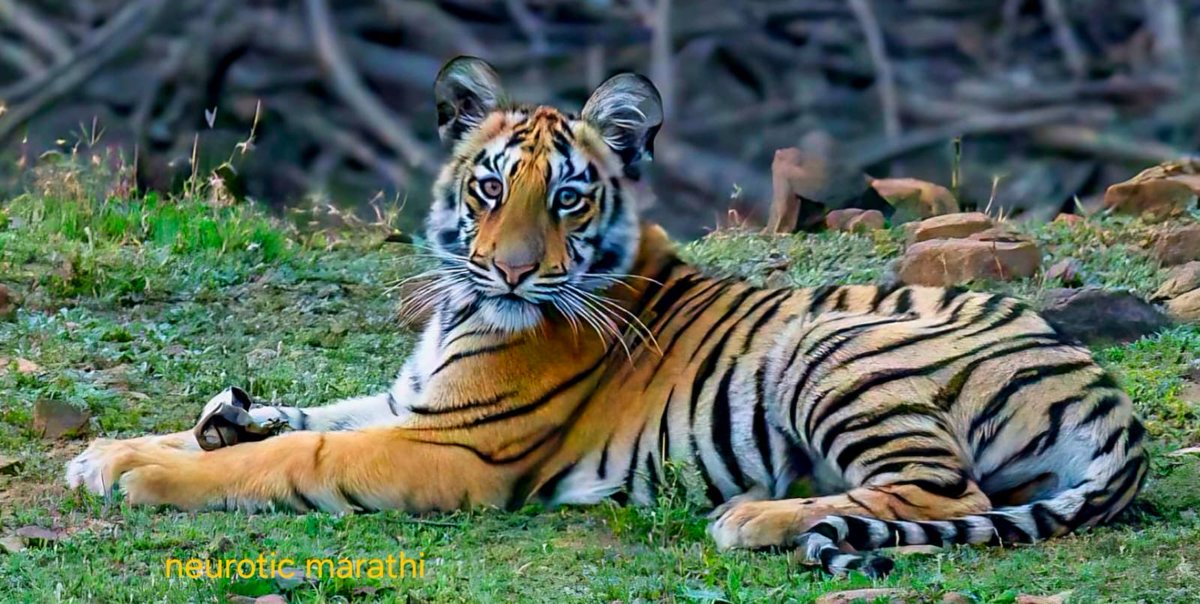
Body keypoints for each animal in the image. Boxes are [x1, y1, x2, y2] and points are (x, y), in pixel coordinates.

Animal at [66, 56, 1148, 577]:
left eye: (569, 199)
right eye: (491, 186)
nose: (508, 272)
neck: (464, 310)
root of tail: (1114, 401)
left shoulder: (454, 448)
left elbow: (297, 453)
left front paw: (154, 473)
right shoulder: (412, 401)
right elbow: (306, 414)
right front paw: (117, 450)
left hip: (840, 350)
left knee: (942, 491)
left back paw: (751, 518)